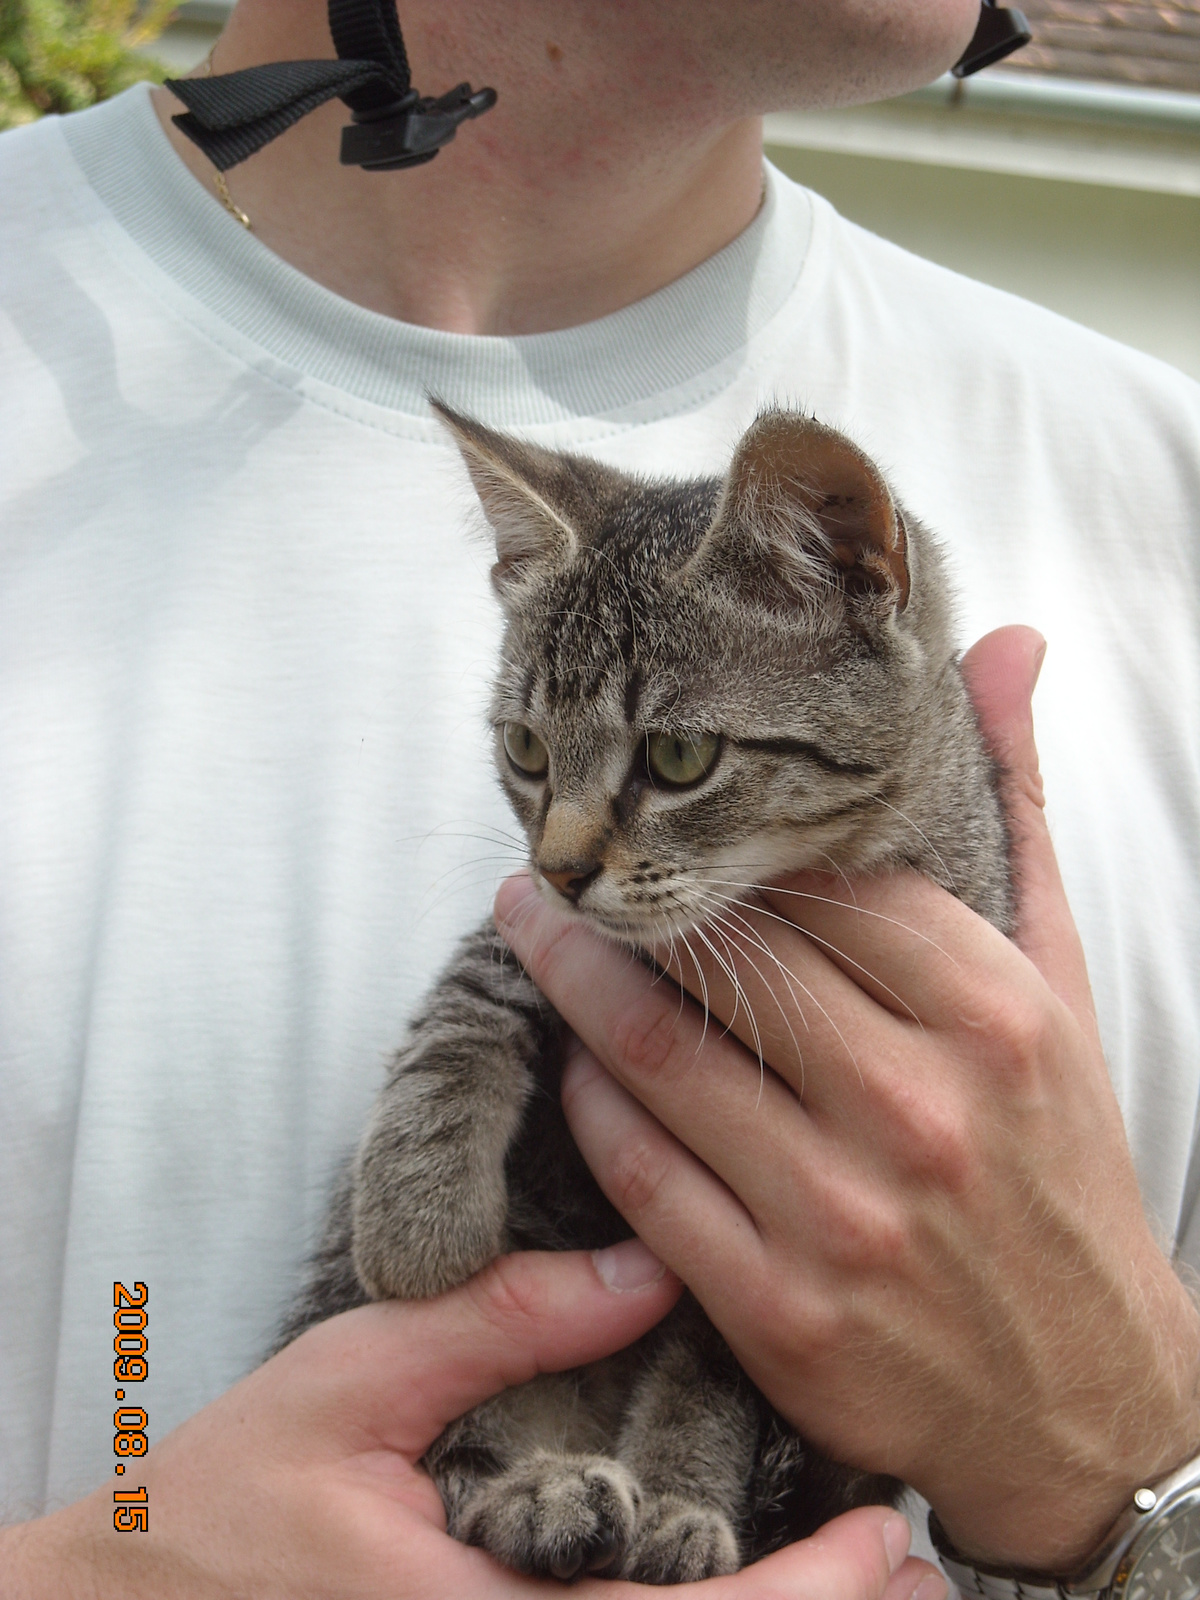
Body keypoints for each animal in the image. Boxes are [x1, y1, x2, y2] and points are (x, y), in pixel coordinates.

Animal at [284, 403, 1017, 1587]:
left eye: (679, 756)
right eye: (526, 747)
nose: (562, 867)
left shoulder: (756, 1282)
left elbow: (709, 1379)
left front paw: (681, 1499)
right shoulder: (531, 933)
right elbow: (466, 1000)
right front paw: (416, 1205)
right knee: (458, 1461)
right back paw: (537, 1497)